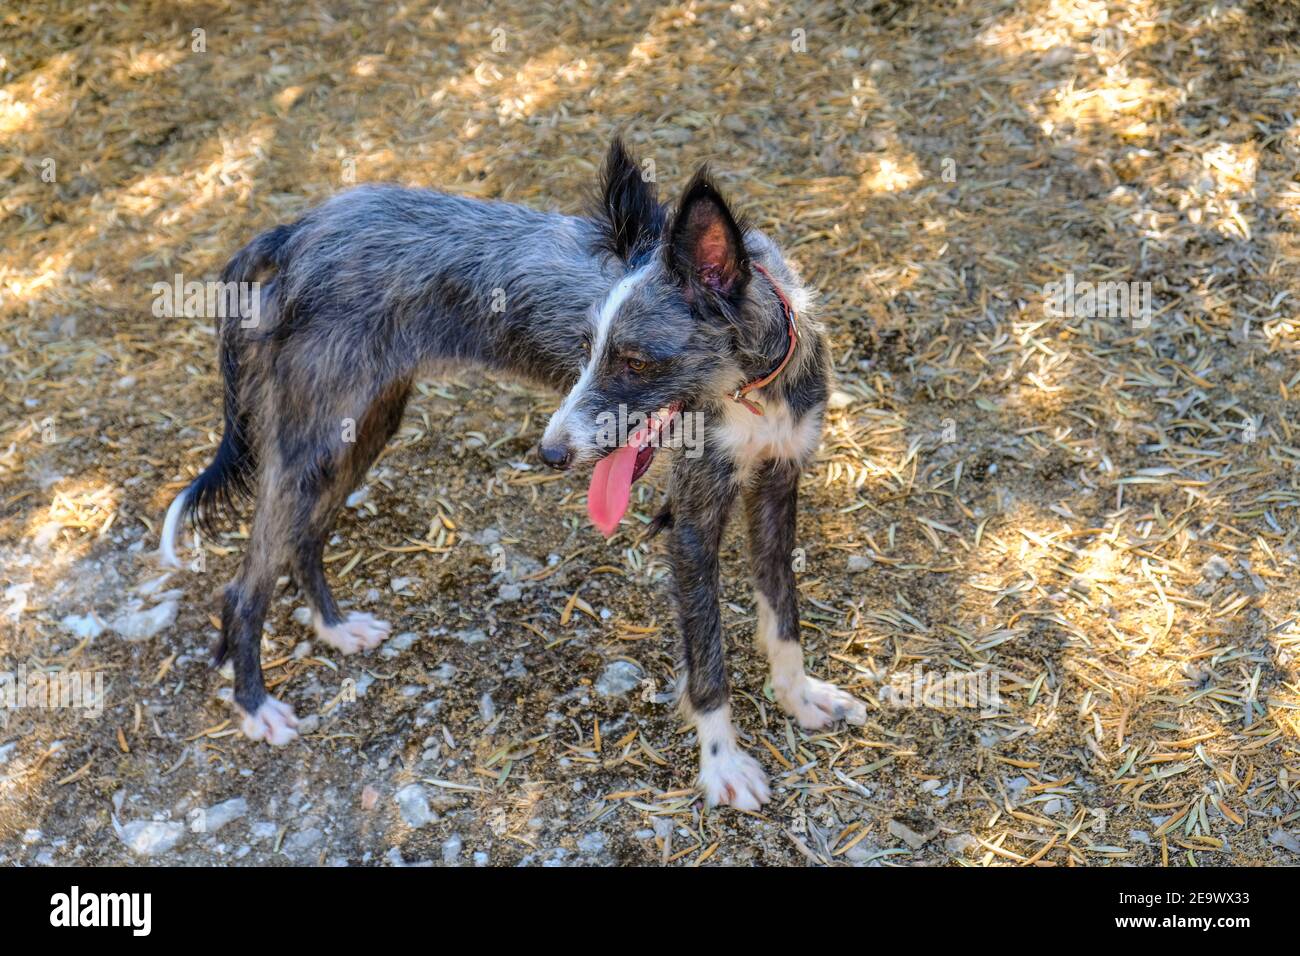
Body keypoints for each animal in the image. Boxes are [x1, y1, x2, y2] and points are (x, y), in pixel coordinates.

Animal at [159, 138, 863, 811]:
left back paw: (335, 629)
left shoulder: (777, 486)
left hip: (361, 428)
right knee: (243, 587)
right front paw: (723, 765)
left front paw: (799, 697)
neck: (757, 387)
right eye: (585, 348)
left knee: (304, 538)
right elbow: (707, 657)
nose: (550, 454)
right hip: (312, 441)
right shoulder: (692, 526)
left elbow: (782, 613)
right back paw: (255, 707)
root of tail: (296, 230)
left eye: (635, 362)